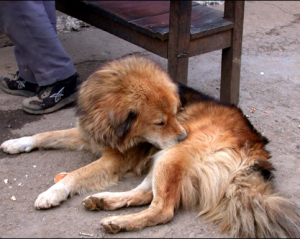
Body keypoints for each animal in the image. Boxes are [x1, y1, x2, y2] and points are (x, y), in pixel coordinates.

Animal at [0, 55, 300, 237]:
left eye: (178, 112)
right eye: (160, 122)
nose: (183, 134)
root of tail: (258, 147)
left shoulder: (116, 159)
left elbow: (76, 174)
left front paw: (52, 192)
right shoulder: (88, 134)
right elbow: (45, 134)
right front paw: (17, 142)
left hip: (171, 155)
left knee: (163, 209)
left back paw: (119, 222)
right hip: (166, 157)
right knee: (146, 194)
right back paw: (104, 201)